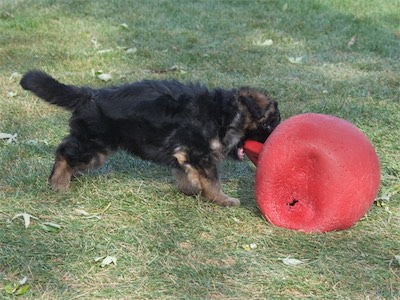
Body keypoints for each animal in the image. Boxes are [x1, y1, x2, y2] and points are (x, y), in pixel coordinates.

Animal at [19, 70, 282, 206]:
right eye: (270, 123)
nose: (273, 138)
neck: (225, 113)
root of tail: (90, 94)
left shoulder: (184, 153)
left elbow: (185, 173)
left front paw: (191, 189)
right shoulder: (199, 153)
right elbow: (212, 180)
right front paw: (223, 199)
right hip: (94, 145)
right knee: (64, 151)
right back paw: (58, 182)